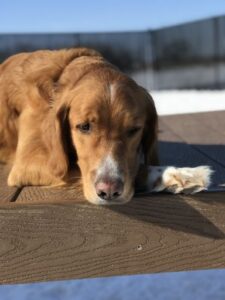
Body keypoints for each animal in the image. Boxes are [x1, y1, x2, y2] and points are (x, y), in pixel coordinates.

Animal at [0, 48, 211, 205]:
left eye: (133, 130)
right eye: (84, 126)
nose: (108, 192)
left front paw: (182, 175)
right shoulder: (30, 164)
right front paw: (181, 174)